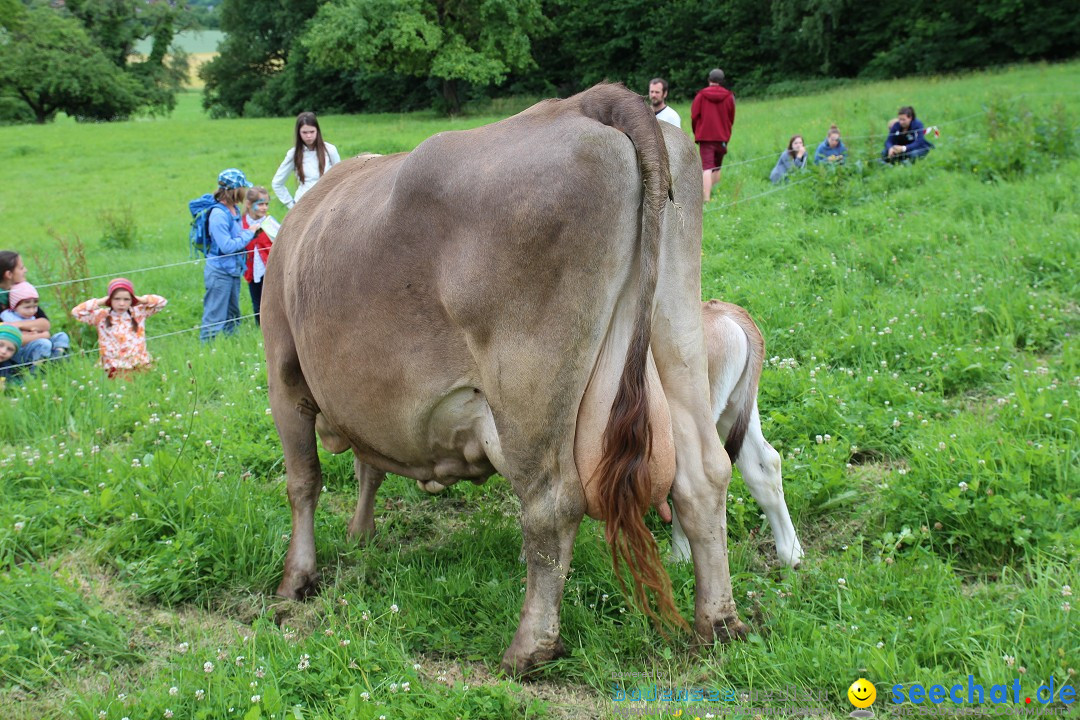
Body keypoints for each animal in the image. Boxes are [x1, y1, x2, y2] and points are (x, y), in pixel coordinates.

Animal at [265, 84, 747, 677]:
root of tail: (592, 101)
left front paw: (297, 578)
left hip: (528, 386)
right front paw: (361, 535)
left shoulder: (283, 374)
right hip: (675, 336)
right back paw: (719, 622)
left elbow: (303, 481)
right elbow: (368, 467)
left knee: (552, 504)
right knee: (704, 476)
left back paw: (529, 647)